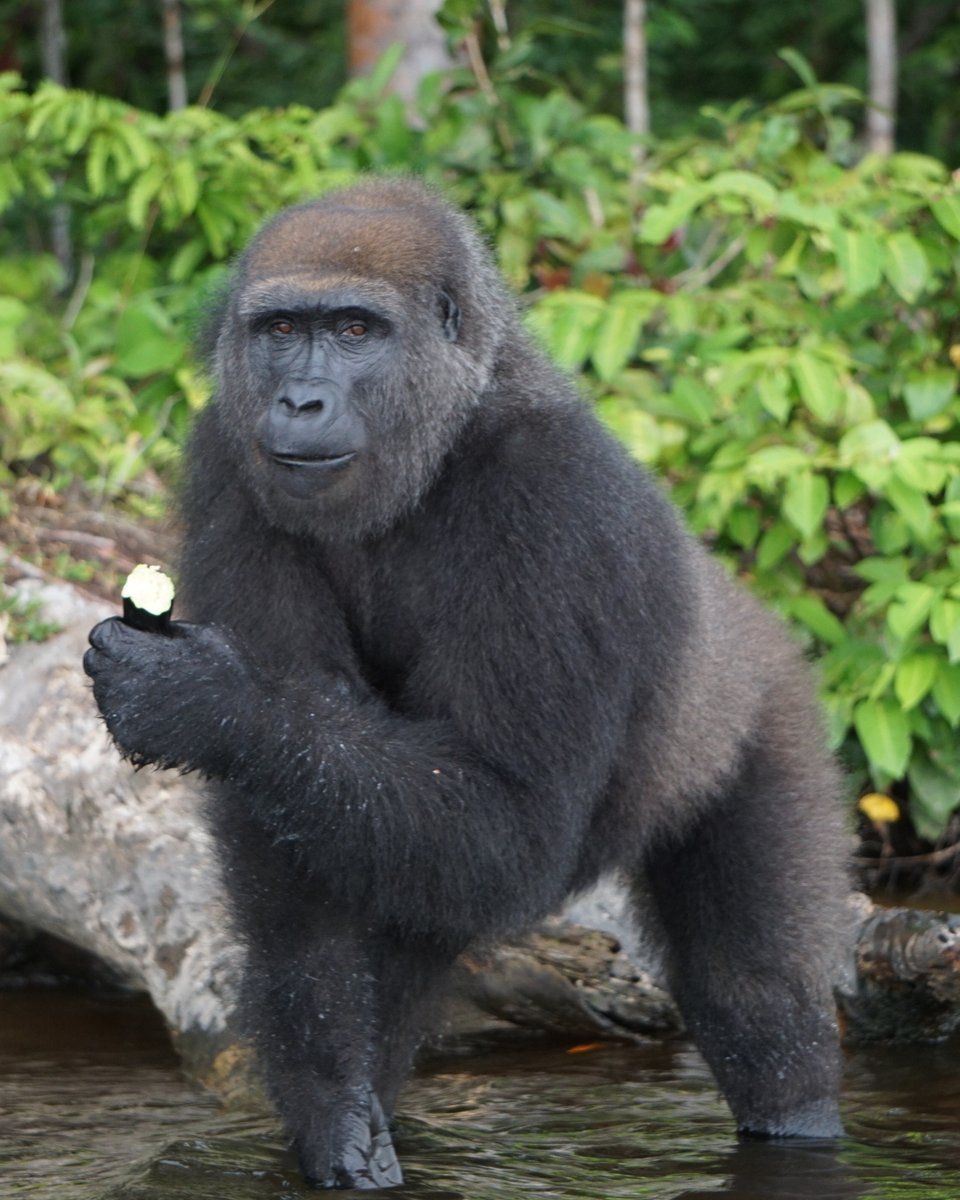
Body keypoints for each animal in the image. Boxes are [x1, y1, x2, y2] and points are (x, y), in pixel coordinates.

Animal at [84, 177, 847, 1190]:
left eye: (356, 330)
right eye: (281, 329)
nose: (300, 399)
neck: (450, 424)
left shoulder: (555, 500)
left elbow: (509, 815)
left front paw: (209, 703)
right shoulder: (224, 458)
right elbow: (293, 849)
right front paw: (331, 1100)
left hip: (767, 709)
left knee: (757, 995)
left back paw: (795, 1115)